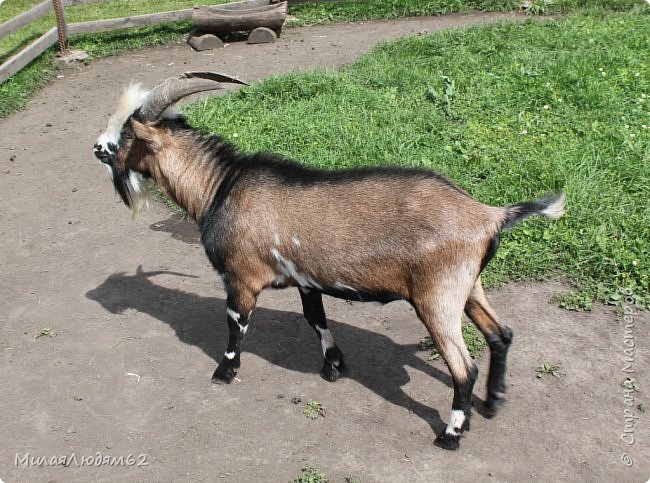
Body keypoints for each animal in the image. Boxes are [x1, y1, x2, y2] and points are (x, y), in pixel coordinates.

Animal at [93, 72, 564, 450]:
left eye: (128, 135)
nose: (98, 147)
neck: (219, 187)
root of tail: (489, 215)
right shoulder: (306, 279)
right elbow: (316, 319)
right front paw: (334, 366)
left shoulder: (240, 278)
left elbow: (235, 326)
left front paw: (223, 373)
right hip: (469, 287)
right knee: (501, 334)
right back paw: (493, 402)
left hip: (438, 297)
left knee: (464, 368)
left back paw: (450, 435)